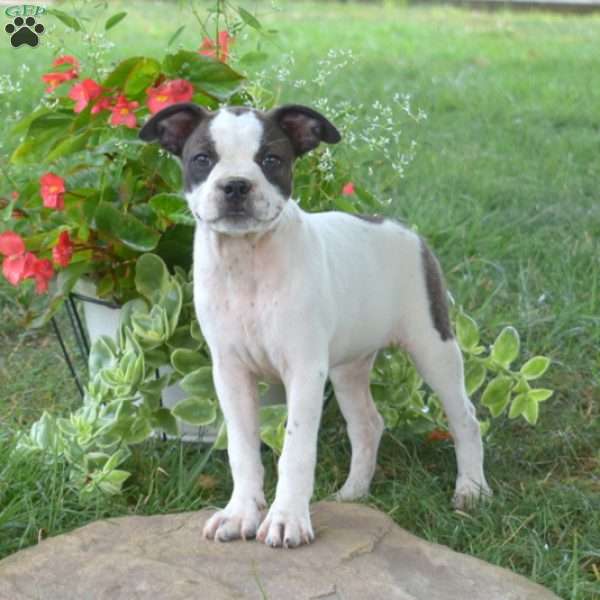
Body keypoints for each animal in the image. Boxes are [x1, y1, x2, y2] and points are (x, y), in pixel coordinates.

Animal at [141, 102, 492, 548]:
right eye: (202, 159)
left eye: (271, 160)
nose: (236, 186)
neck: (246, 260)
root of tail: (400, 227)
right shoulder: (230, 372)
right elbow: (242, 449)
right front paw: (240, 514)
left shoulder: (304, 371)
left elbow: (296, 451)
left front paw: (286, 518)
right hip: (348, 367)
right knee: (368, 424)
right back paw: (354, 493)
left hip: (434, 347)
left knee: (465, 418)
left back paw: (471, 490)